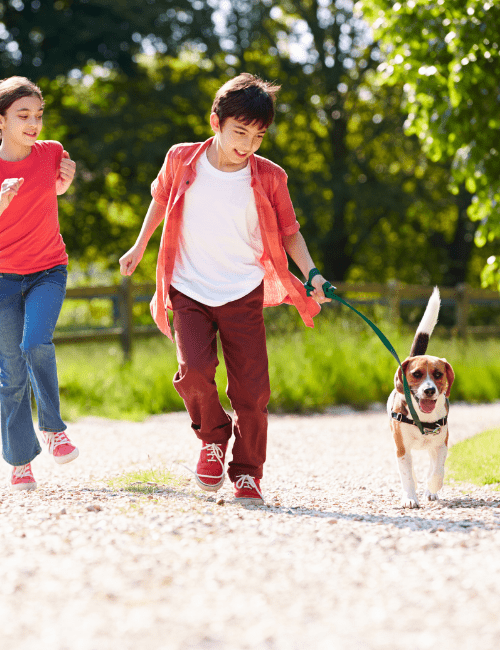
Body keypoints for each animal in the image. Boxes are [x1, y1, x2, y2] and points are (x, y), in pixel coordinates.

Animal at [388, 288, 456, 506]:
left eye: (438, 374)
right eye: (417, 374)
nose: (429, 391)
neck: (423, 418)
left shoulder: (441, 444)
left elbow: (437, 471)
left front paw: (432, 488)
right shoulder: (401, 449)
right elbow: (408, 476)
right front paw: (410, 498)